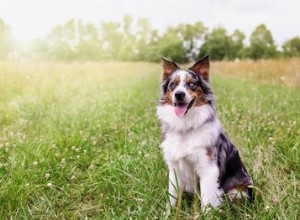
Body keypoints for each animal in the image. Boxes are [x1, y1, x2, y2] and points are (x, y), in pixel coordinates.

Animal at [157, 54, 253, 209]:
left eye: (191, 84)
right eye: (173, 84)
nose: (179, 94)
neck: (186, 126)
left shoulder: (208, 168)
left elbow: (207, 200)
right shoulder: (175, 168)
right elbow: (172, 196)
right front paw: (169, 211)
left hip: (237, 192)